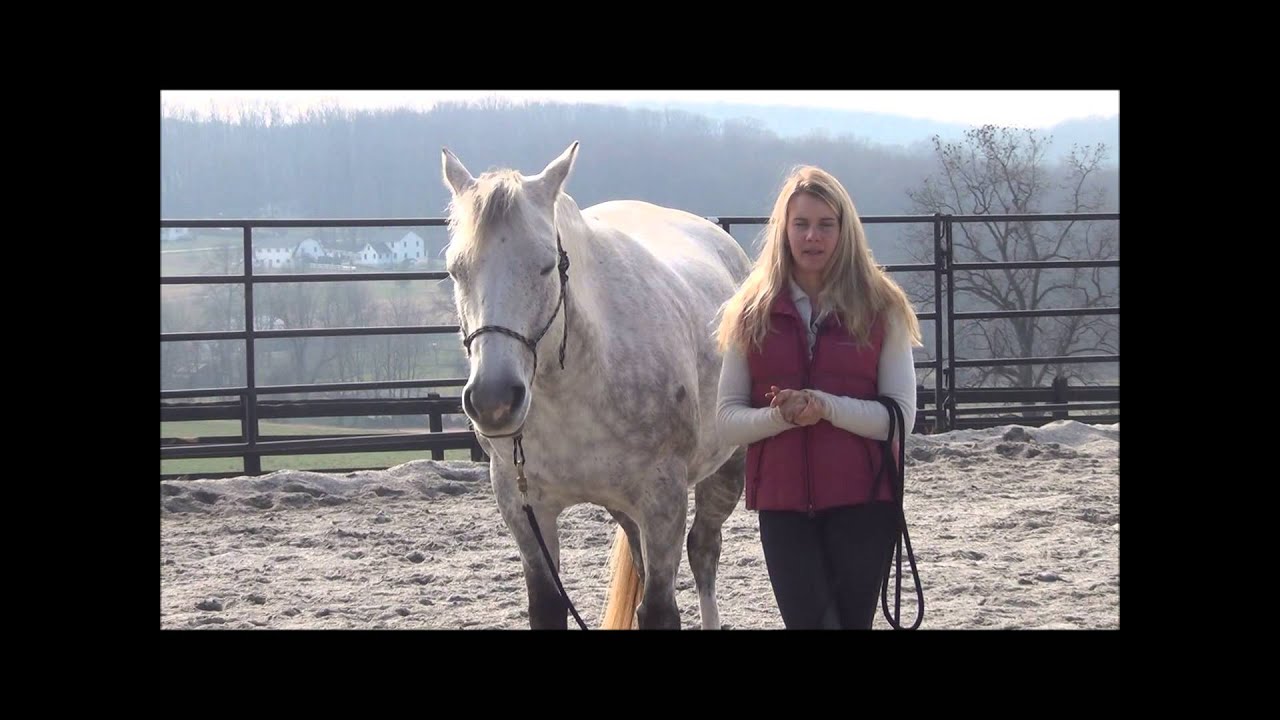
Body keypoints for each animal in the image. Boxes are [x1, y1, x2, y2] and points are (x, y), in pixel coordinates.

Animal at [439, 141, 752, 629]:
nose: (494, 400)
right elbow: (547, 607)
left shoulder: (663, 500)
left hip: (726, 468)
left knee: (704, 551)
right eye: (456, 270)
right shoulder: (523, 506)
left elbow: (660, 610)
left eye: (547, 265)